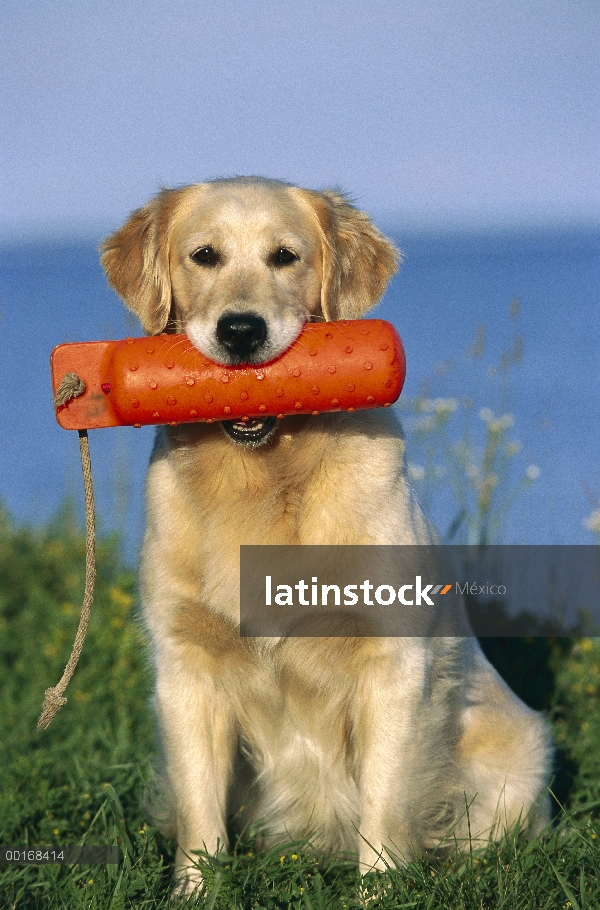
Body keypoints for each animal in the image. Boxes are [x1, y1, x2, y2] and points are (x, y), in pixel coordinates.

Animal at [101, 178, 552, 896]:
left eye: (285, 256)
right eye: (204, 256)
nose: (240, 330)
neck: (264, 475)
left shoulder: (392, 663)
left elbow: (383, 806)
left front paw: (380, 894)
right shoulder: (186, 664)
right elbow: (201, 813)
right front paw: (195, 893)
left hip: (516, 755)